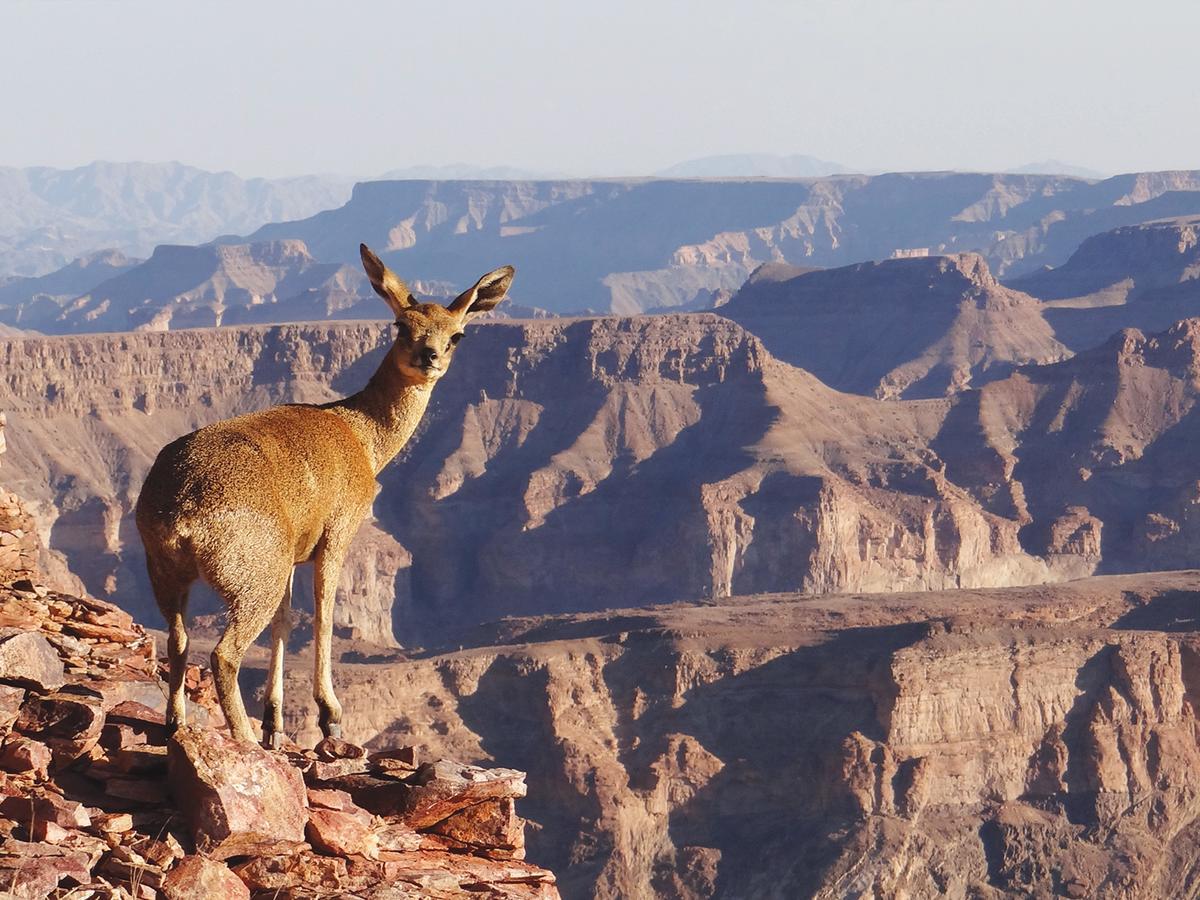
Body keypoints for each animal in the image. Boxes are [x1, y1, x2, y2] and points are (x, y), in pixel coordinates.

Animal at [135, 247, 511, 748]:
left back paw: (176, 723)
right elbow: (324, 613)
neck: (361, 432)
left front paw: (275, 721)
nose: (428, 356)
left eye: (457, 335)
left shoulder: (294, 554)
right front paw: (329, 714)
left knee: (179, 640)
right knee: (224, 654)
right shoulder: (336, 536)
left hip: (169, 573)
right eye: (401, 325)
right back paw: (245, 739)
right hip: (252, 579)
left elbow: (285, 621)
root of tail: (181, 509)